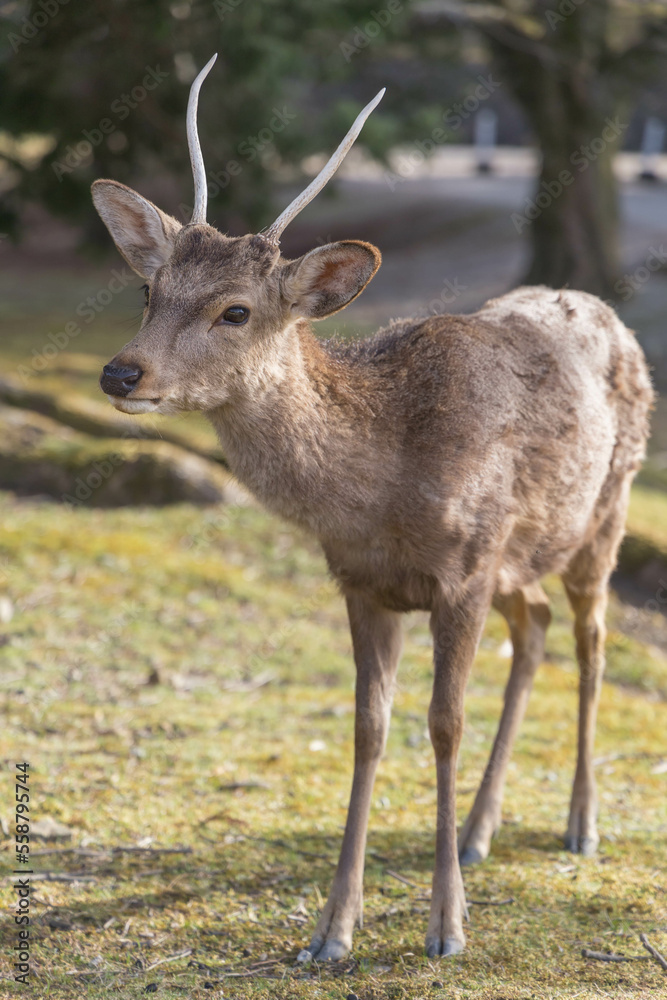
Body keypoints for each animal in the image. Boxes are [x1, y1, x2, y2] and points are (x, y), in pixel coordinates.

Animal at [91, 56, 656, 960]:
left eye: (236, 309)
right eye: (149, 288)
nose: (121, 372)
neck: (381, 492)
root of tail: (605, 310)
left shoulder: (461, 575)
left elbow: (443, 723)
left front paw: (446, 926)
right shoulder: (362, 583)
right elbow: (368, 728)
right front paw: (331, 929)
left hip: (603, 516)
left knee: (591, 640)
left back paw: (580, 823)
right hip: (518, 556)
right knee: (534, 628)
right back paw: (478, 830)